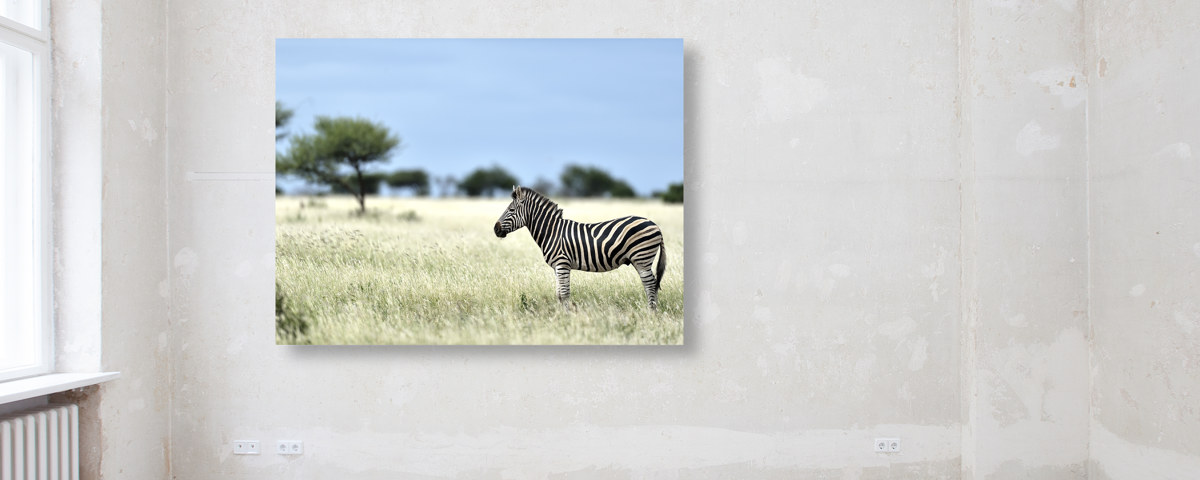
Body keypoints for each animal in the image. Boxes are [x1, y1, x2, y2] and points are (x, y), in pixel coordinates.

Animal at [493, 186, 667, 310]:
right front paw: (561, 316)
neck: (552, 232)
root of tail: (655, 224)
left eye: (511, 210)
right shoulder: (556, 267)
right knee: (652, 284)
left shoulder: (562, 264)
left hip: (642, 258)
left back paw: (651, 312)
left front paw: (567, 317)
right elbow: (558, 294)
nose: (495, 229)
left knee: (650, 285)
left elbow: (564, 294)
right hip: (641, 259)